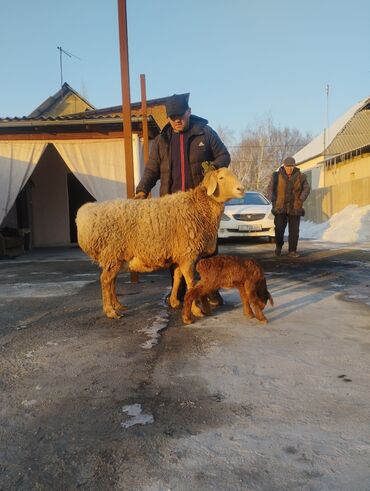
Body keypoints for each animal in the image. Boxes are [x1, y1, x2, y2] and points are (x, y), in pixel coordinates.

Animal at [76, 167, 246, 320]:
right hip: (113, 252)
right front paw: (196, 310)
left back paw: (118, 305)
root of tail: (85, 216)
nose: (241, 189)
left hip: (115, 256)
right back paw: (110, 311)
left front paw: (174, 301)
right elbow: (191, 282)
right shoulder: (188, 254)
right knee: (105, 280)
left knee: (112, 280)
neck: (199, 207)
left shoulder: (180, 254)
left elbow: (178, 277)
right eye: (221, 178)